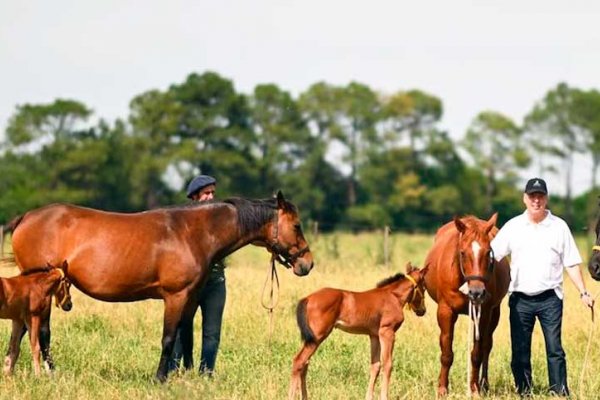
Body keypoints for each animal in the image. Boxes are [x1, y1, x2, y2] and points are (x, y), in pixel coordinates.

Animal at [5, 191, 314, 382]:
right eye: (297, 226)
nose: (307, 264)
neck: (192, 232)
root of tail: (26, 217)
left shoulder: (191, 297)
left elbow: (186, 337)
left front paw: (186, 376)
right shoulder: (175, 297)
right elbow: (168, 337)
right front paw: (160, 377)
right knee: (41, 331)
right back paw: (50, 372)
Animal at [290, 262, 426, 400]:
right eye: (423, 287)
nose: (422, 310)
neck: (393, 297)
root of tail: (308, 298)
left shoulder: (374, 335)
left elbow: (375, 365)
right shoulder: (387, 332)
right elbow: (388, 364)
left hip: (312, 339)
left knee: (305, 363)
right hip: (317, 337)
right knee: (299, 361)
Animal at [422, 214, 510, 396]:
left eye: (488, 252)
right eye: (462, 253)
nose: (476, 292)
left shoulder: (484, 313)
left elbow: (477, 353)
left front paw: (474, 389)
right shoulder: (446, 312)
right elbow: (446, 352)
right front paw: (442, 389)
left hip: (494, 313)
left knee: (487, 346)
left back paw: (484, 384)